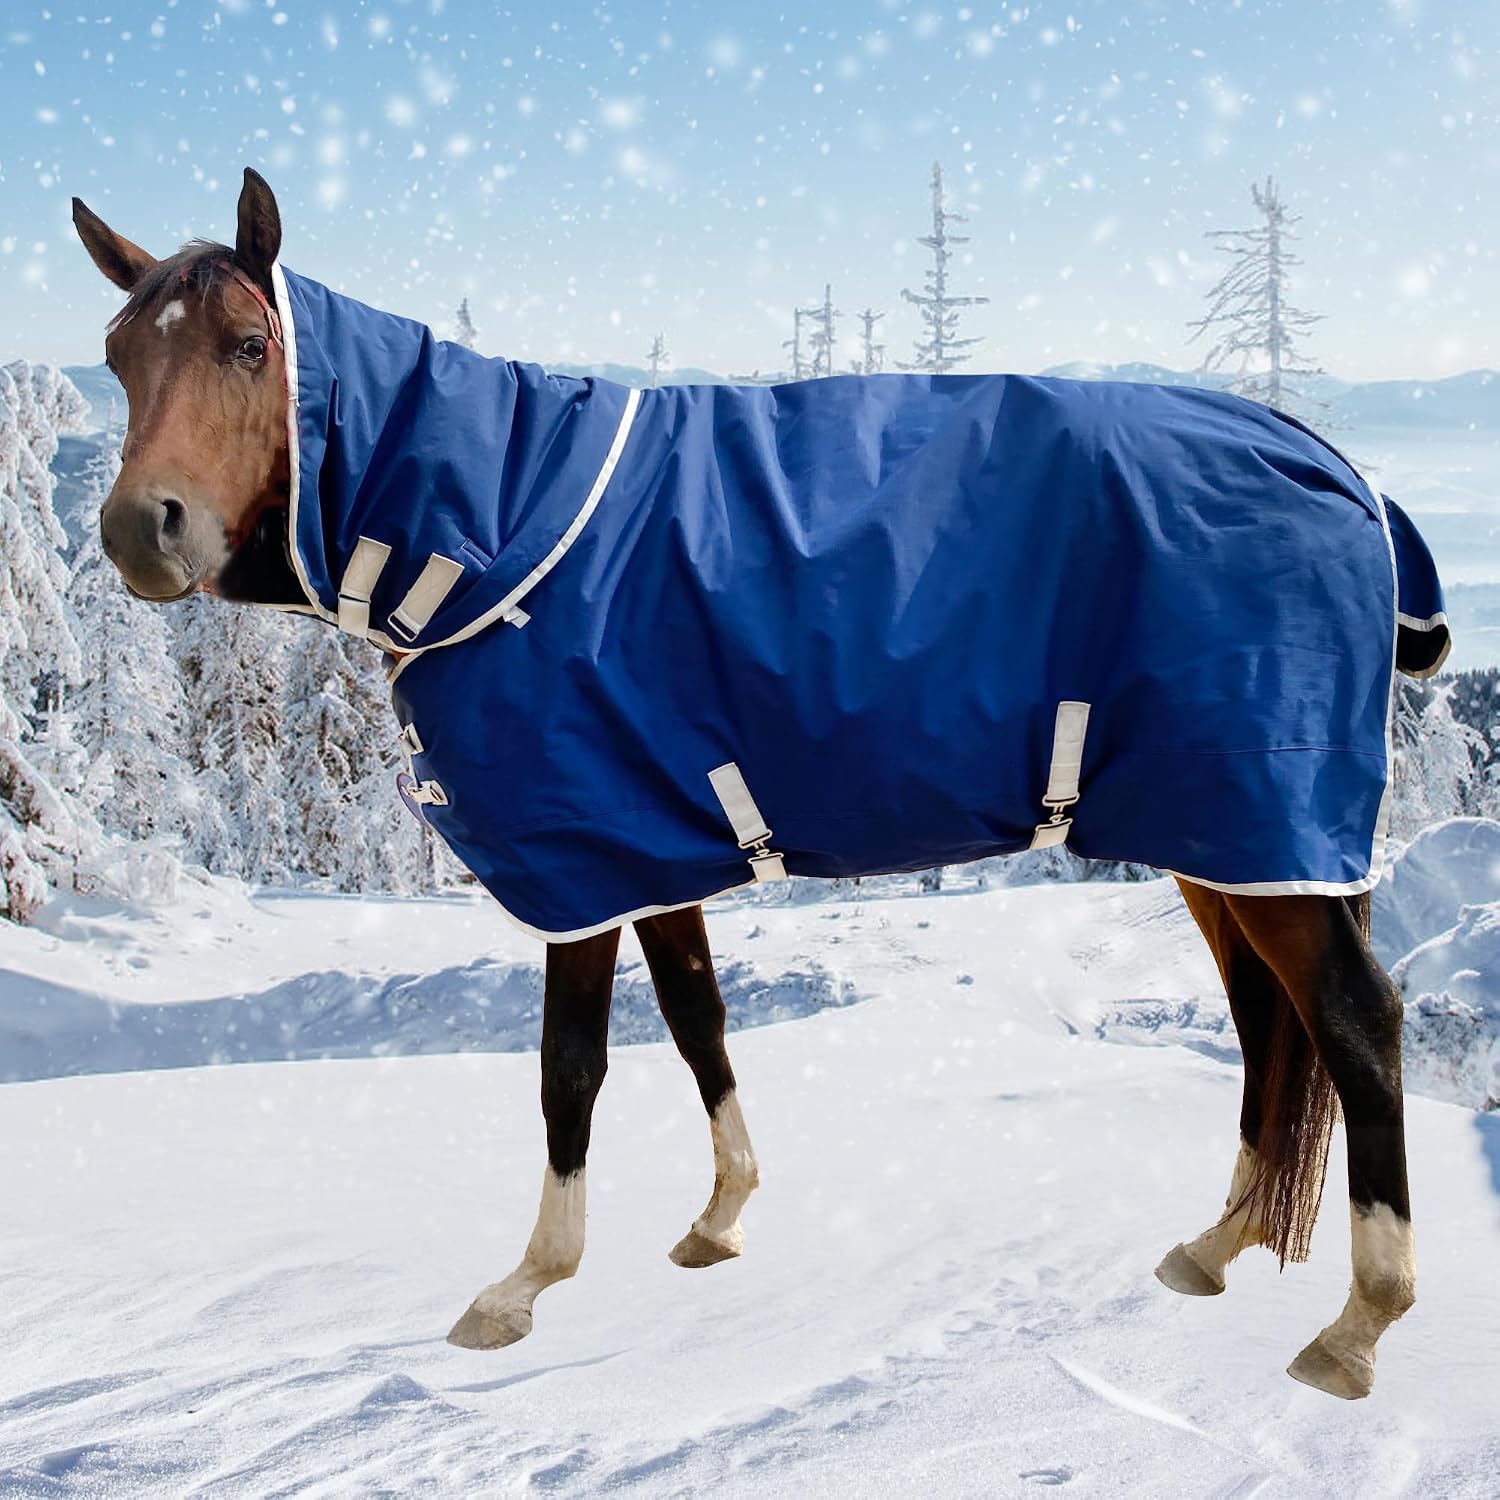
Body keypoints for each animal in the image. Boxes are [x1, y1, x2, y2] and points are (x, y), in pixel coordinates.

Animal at [72, 168, 1448, 1400]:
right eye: (117, 357)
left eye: (252, 344)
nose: (144, 529)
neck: (505, 529)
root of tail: (1337, 466)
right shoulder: (653, 849)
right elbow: (699, 1024)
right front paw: (720, 1216)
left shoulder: (580, 857)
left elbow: (569, 1068)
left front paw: (525, 1285)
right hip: (1225, 839)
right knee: (1270, 1026)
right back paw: (1215, 1247)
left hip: (1263, 828)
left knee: (1355, 1025)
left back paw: (1360, 1327)